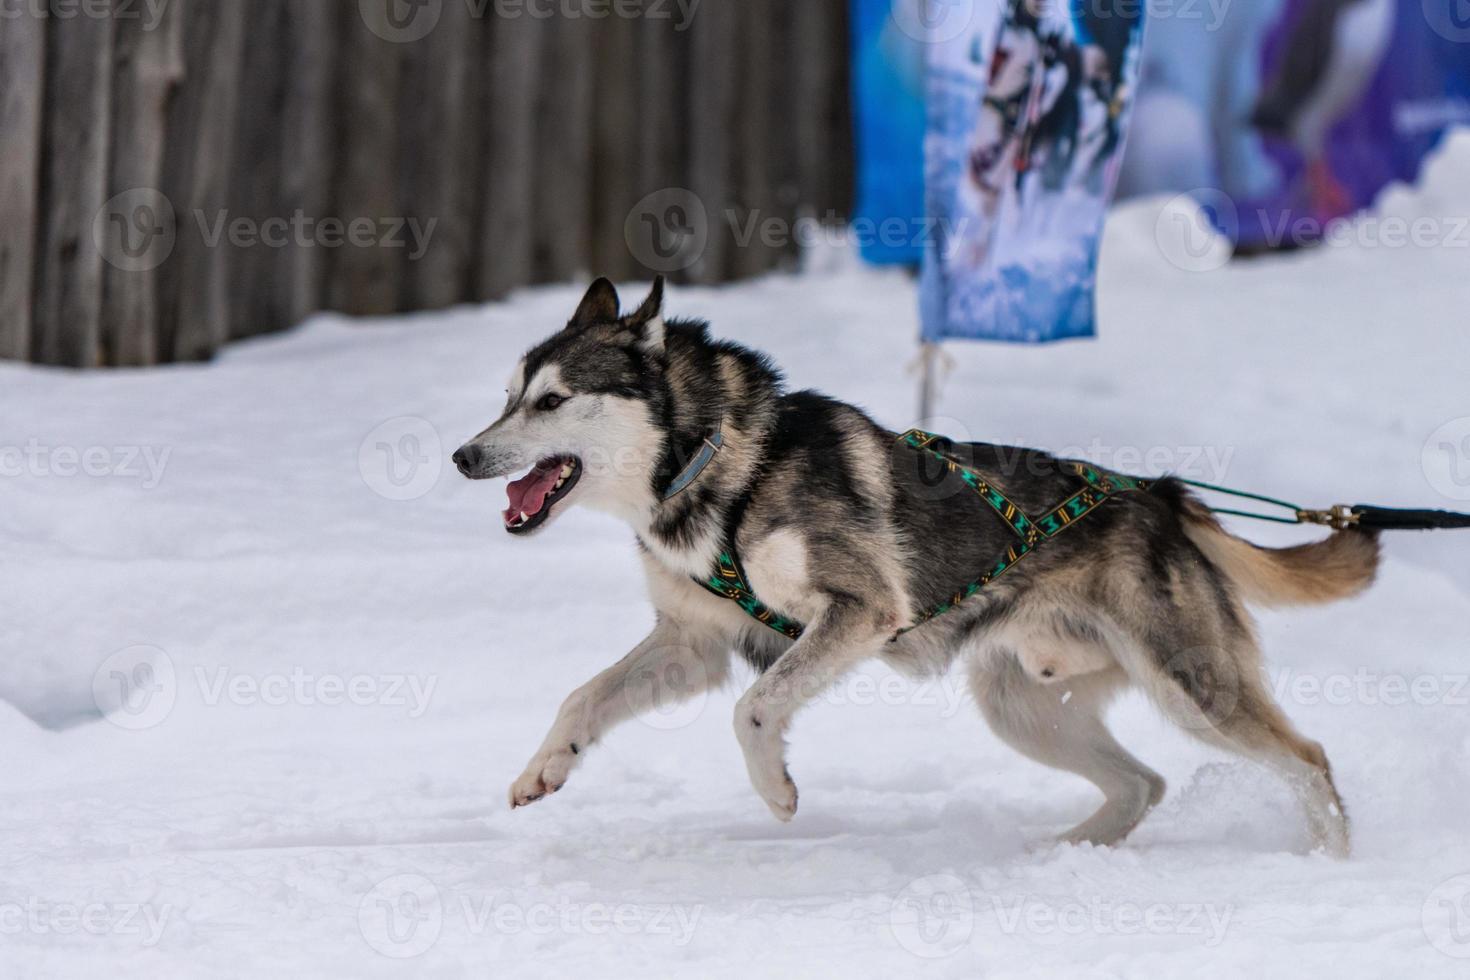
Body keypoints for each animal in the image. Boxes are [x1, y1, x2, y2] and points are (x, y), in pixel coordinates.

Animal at [449, 277, 1375, 858]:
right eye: (506, 396)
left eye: (553, 401)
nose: (463, 456)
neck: (722, 463)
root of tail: (1164, 496)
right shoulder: (690, 642)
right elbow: (584, 697)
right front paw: (545, 766)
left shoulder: (858, 611)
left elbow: (755, 708)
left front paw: (775, 790)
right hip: (1021, 706)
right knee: (1143, 784)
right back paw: (1066, 858)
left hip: (1191, 686)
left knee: (1311, 761)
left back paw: (1328, 862)